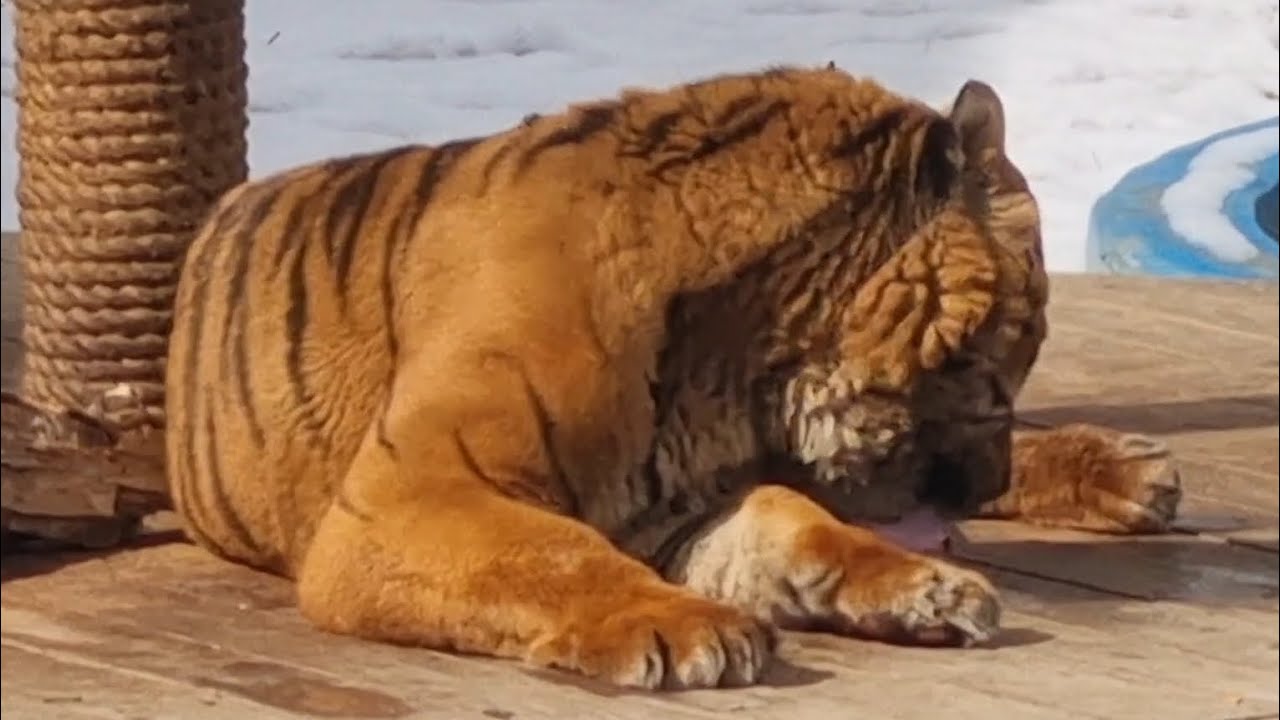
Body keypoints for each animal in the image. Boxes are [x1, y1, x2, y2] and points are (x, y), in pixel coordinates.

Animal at [165, 65, 1181, 690]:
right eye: (997, 358)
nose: (982, 482)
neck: (744, 367)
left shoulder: (687, 503)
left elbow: (798, 524)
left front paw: (923, 586)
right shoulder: (409, 493)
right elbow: (555, 551)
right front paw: (683, 626)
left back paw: (1130, 472)